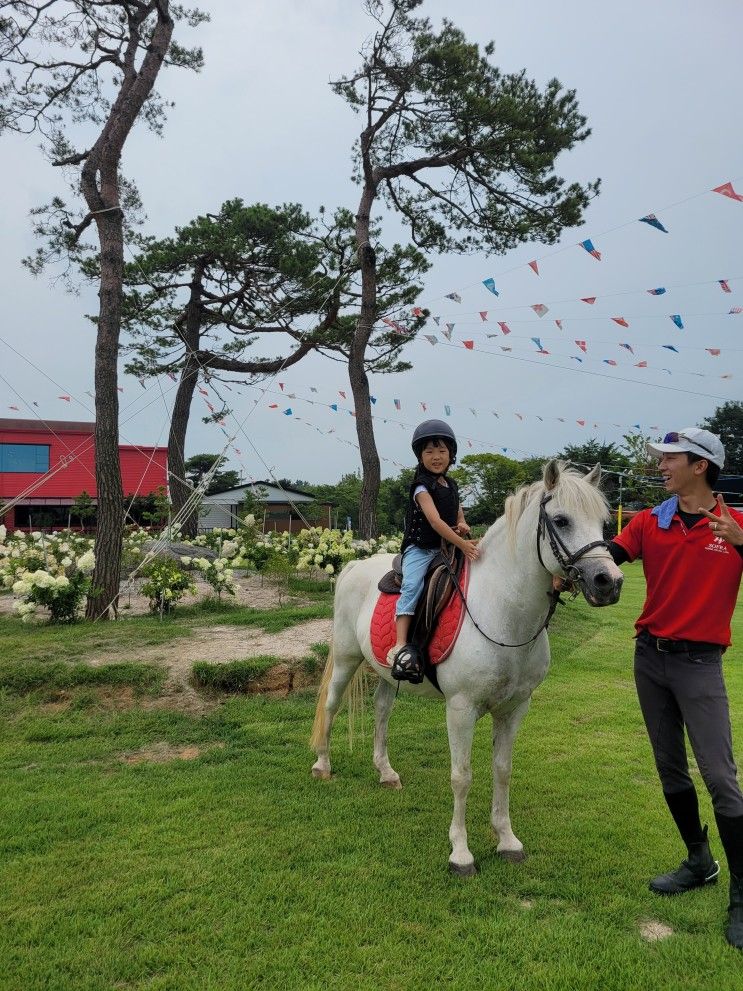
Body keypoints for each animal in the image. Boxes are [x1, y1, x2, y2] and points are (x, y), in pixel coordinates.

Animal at [310, 462, 624, 872]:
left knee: (381, 711)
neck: (501, 612)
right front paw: (460, 851)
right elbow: (461, 776)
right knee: (331, 705)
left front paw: (506, 839)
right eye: (561, 520)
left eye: (603, 522)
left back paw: (386, 772)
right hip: (348, 658)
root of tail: (354, 565)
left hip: (386, 672)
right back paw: (322, 765)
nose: (609, 582)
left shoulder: (515, 708)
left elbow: (503, 770)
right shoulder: (461, 708)